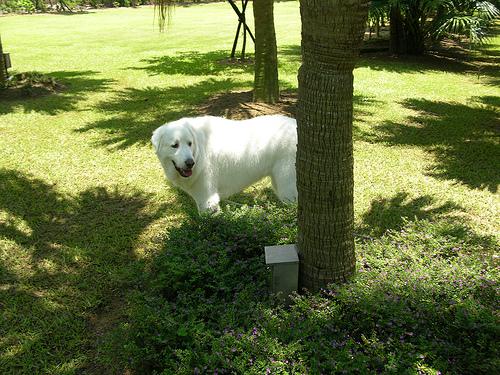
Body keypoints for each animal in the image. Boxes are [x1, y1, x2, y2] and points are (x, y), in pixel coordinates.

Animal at [151, 114, 296, 213]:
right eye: (175, 145)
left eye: (189, 143)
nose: (190, 163)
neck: (198, 151)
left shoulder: (207, 198)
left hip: (287, 185)